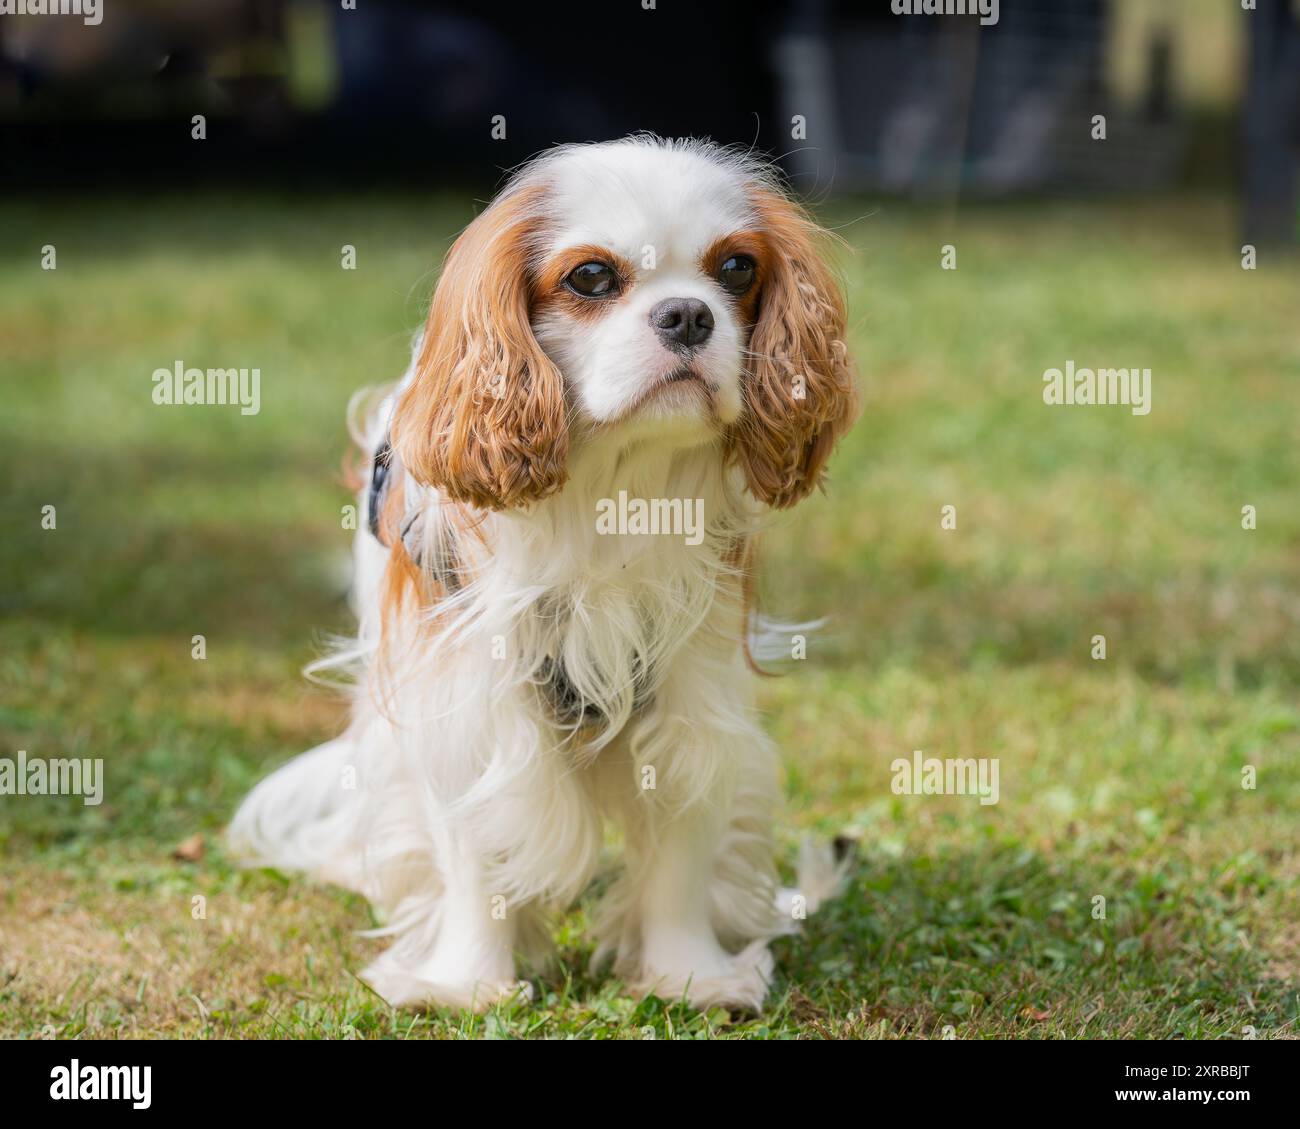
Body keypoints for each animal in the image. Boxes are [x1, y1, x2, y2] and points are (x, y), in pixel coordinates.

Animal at [231, 136, 863, 1009]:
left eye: (736, 268)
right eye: (590, 277)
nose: (688, 314)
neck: (613, 486)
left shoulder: (691, 686)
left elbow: (684, 838)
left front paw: (688, 972)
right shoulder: (466, 695)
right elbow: (472, 845)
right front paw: (465, 981)